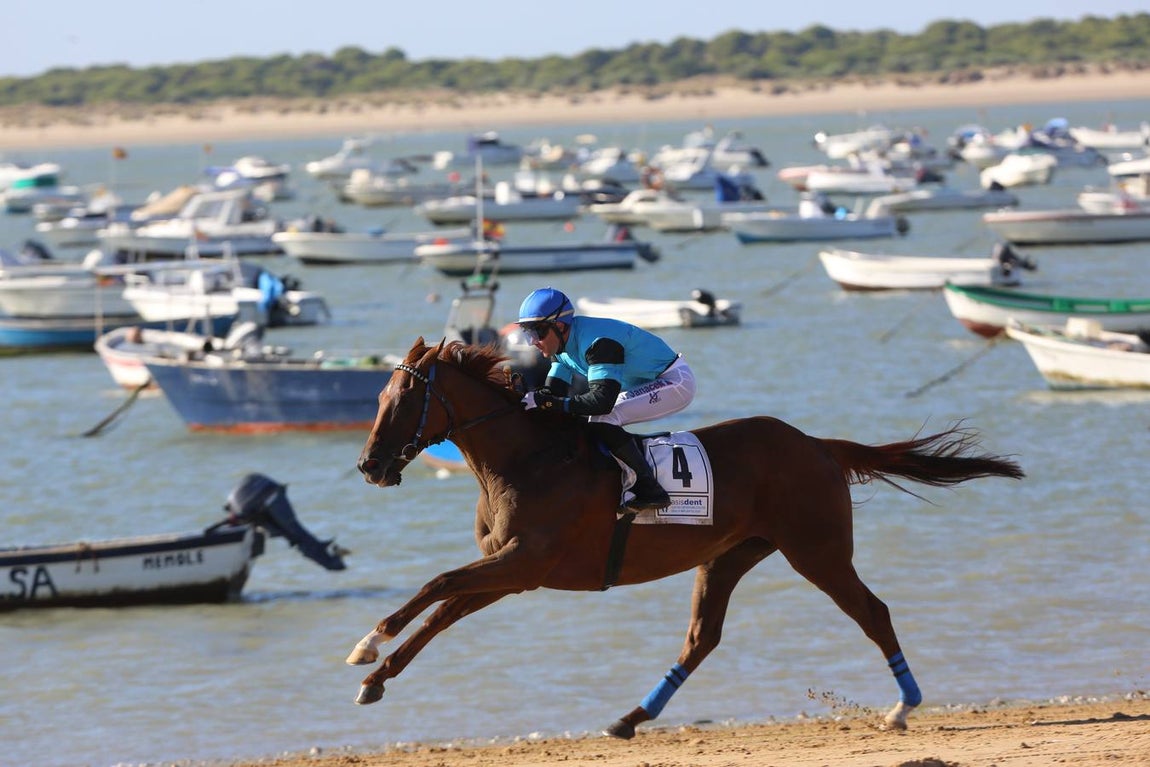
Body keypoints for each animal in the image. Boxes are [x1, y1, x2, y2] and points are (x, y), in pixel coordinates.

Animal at [352, 338, 1024, 738]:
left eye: (404, 398)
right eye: (378, 395)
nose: (369, 466)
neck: (524, 458)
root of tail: (815, 444)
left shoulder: (524, 563)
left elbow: (437, 585)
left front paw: (368, 644)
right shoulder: (512, 572)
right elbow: (442, 611)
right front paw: (376, 677)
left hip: (818, 550)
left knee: (873, 612)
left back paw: (903, 706)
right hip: (727, 557)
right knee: (702, 638)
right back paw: (630, 718)